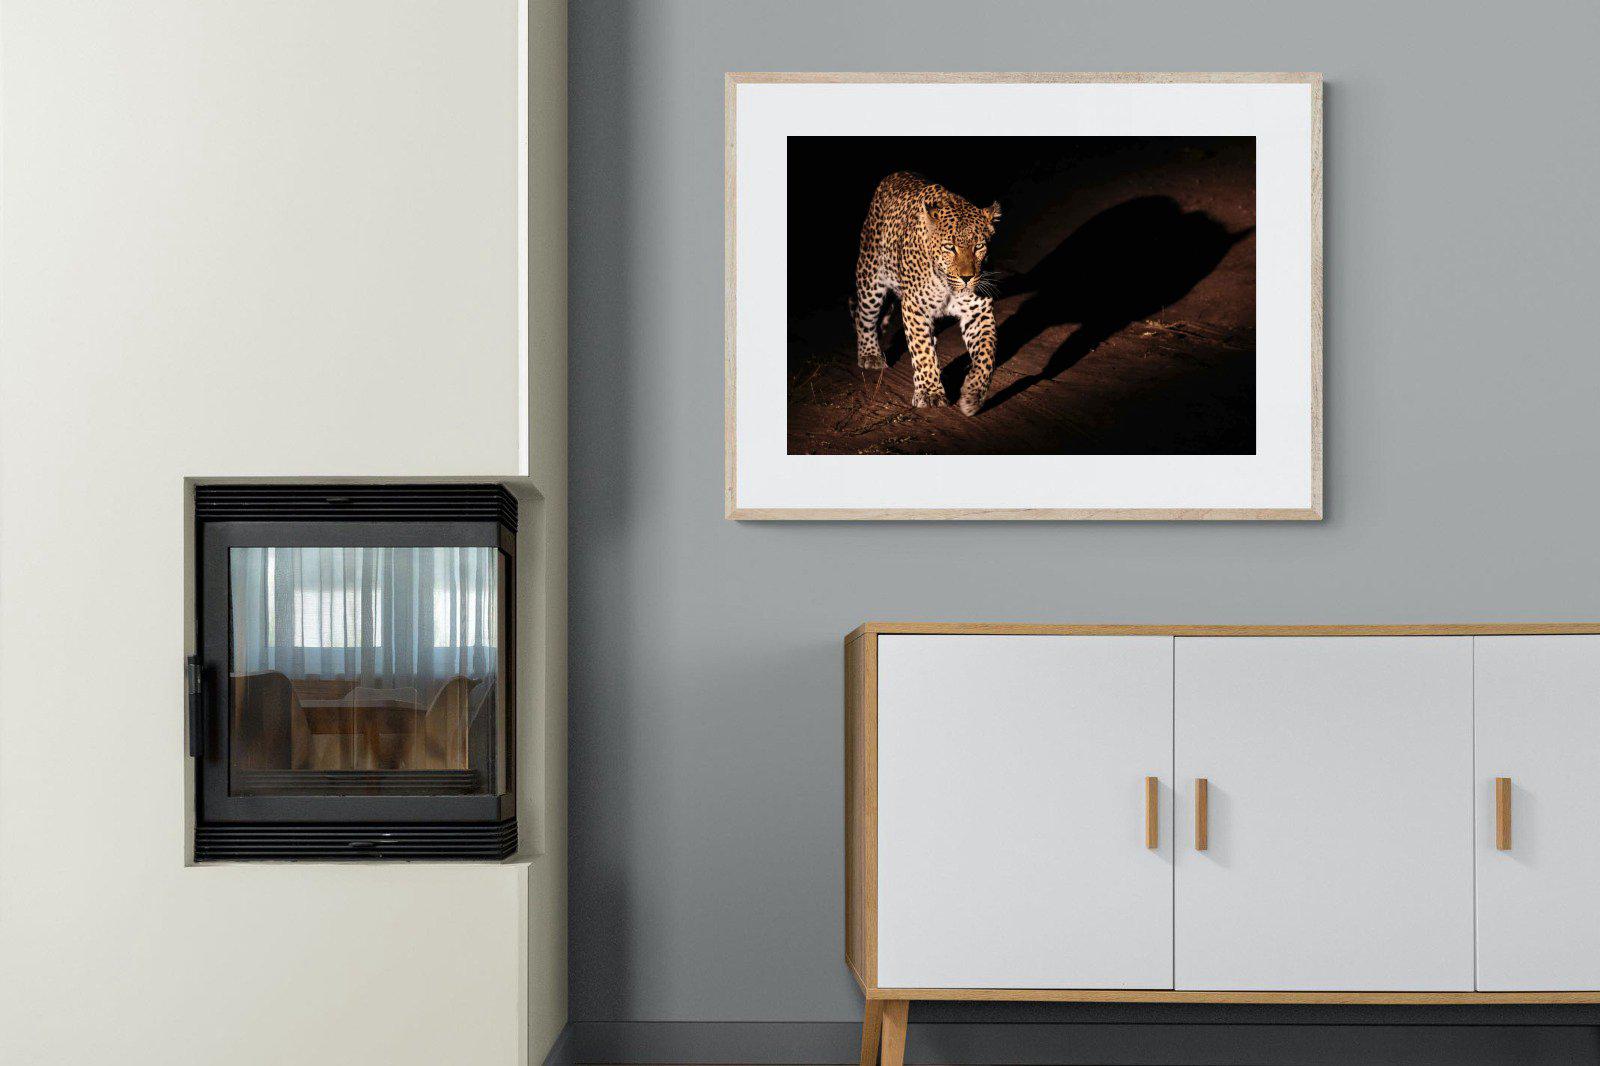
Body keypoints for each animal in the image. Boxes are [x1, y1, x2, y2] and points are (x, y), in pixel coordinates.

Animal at [852, 171, 1002, 415]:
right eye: (950, 247)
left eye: (979, 246)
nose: (967, 278)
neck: (947, 285)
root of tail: (895, 174)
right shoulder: (915, 308)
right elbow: (922, 352)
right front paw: (930, 393)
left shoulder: (978, 312)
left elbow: (986, 354)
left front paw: (973, 394)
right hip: (870, 278)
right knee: (863, 317)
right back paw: (870, 355)